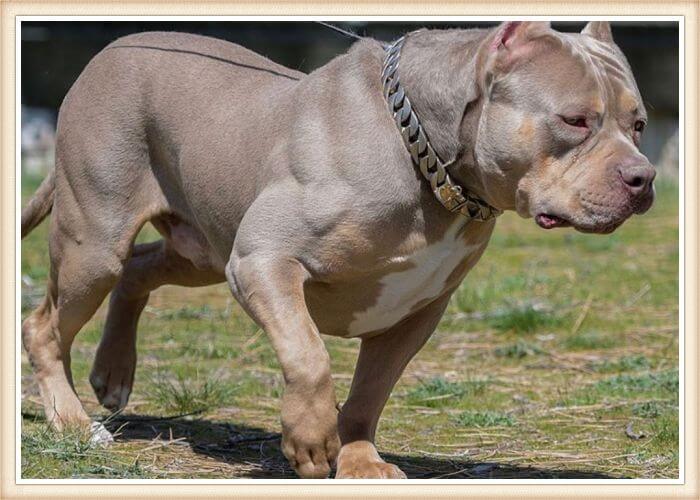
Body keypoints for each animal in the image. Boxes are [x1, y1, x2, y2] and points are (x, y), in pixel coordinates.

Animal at [21, 21, 656, 478]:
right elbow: (310, 356)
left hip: (201, 251)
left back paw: (112, 373)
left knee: (138, 269)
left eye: (640, 124)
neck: (425, 154)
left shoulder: (416, 311)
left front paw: (358, 460)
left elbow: (370, 392)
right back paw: (73, 422)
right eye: (575, 120)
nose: (644, 177)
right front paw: (309, 441)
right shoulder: (263, 259)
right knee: (45, 323)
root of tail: (111, 50)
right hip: (96, 242)